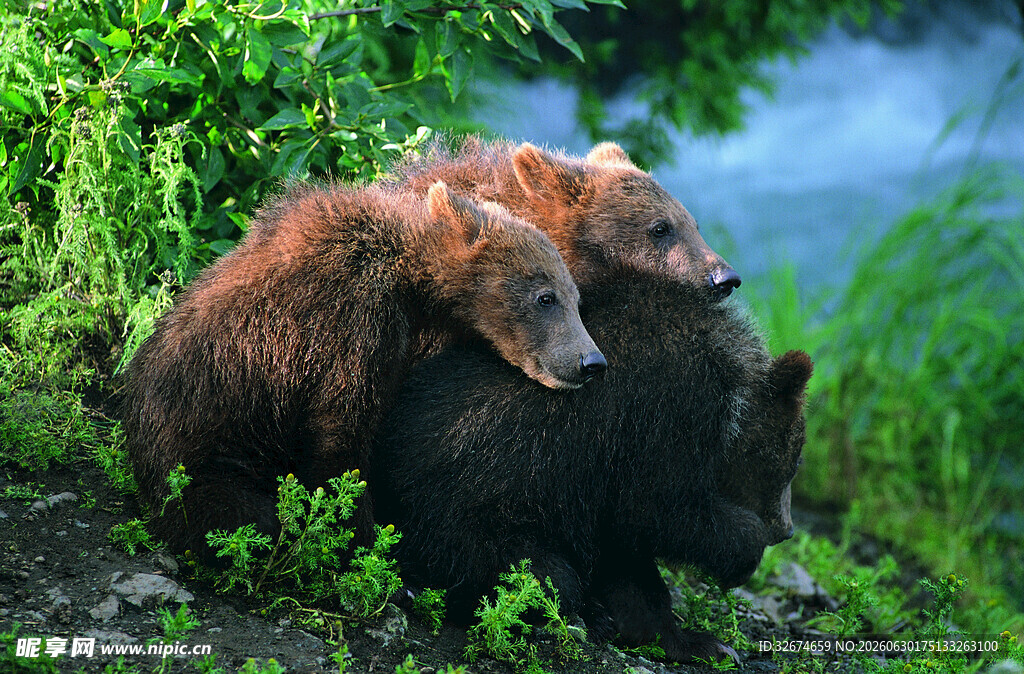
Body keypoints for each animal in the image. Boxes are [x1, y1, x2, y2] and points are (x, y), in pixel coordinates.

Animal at [119, 181, 605, 560]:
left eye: (576, 297)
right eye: (546, 297)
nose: (591, 362)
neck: (412, 283)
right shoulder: (350, 321)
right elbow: (341, 434)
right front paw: (366, 543)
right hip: (205, 449)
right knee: (236, 514)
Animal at [372, 274, 812, 664]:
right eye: (794, 459)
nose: (786, 528)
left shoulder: (599, 485)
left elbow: (628, 559)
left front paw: (688, 640)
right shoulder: (663, 418)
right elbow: (658, 509)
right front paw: (743, 553)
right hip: (460, 520)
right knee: (541, 575)